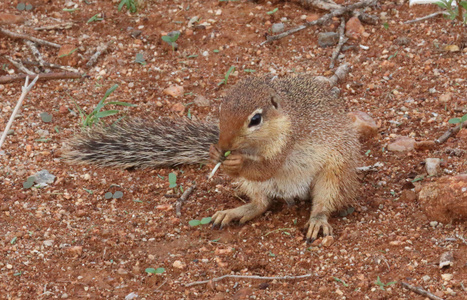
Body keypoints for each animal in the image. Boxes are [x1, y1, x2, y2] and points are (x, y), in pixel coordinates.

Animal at [64, 74, 360, 243]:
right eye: (221, 108)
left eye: (255, 119)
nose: (224, 145)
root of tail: (292, 193)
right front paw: (214, 154)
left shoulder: (287, 143)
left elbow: (268, 167)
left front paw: (236, 162)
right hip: (256, 189)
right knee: (261, 203)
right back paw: (235, 212)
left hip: (334, 174)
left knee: (324, 202)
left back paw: (317, 221)